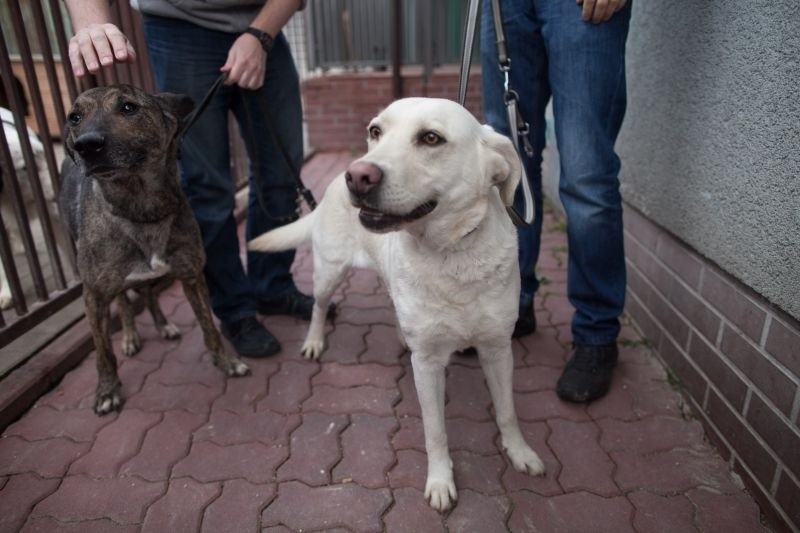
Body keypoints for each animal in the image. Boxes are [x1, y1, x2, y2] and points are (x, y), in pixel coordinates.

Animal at [60, 84, 250, 416]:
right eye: (74, 117)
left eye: (128, 107)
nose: (87, 145)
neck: (141, 210)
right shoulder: (93, 295)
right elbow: (102, 351)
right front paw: (107, 391)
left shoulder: (192, 276)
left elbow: (210, 328)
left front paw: (226, 361)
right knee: (123, 300)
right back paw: (130, 337)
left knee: (148, 294)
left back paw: (163, 325)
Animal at [250, 97, 544, 510]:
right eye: (376, 131)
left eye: (431, 138)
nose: (358, 176)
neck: (451, 255)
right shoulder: (428, 364)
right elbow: (435, 431)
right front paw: (440, 481)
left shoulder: (498, 349)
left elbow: (507, 412)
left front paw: (519, 452)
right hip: (328, 274)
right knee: (319, 307)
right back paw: (314, 341)